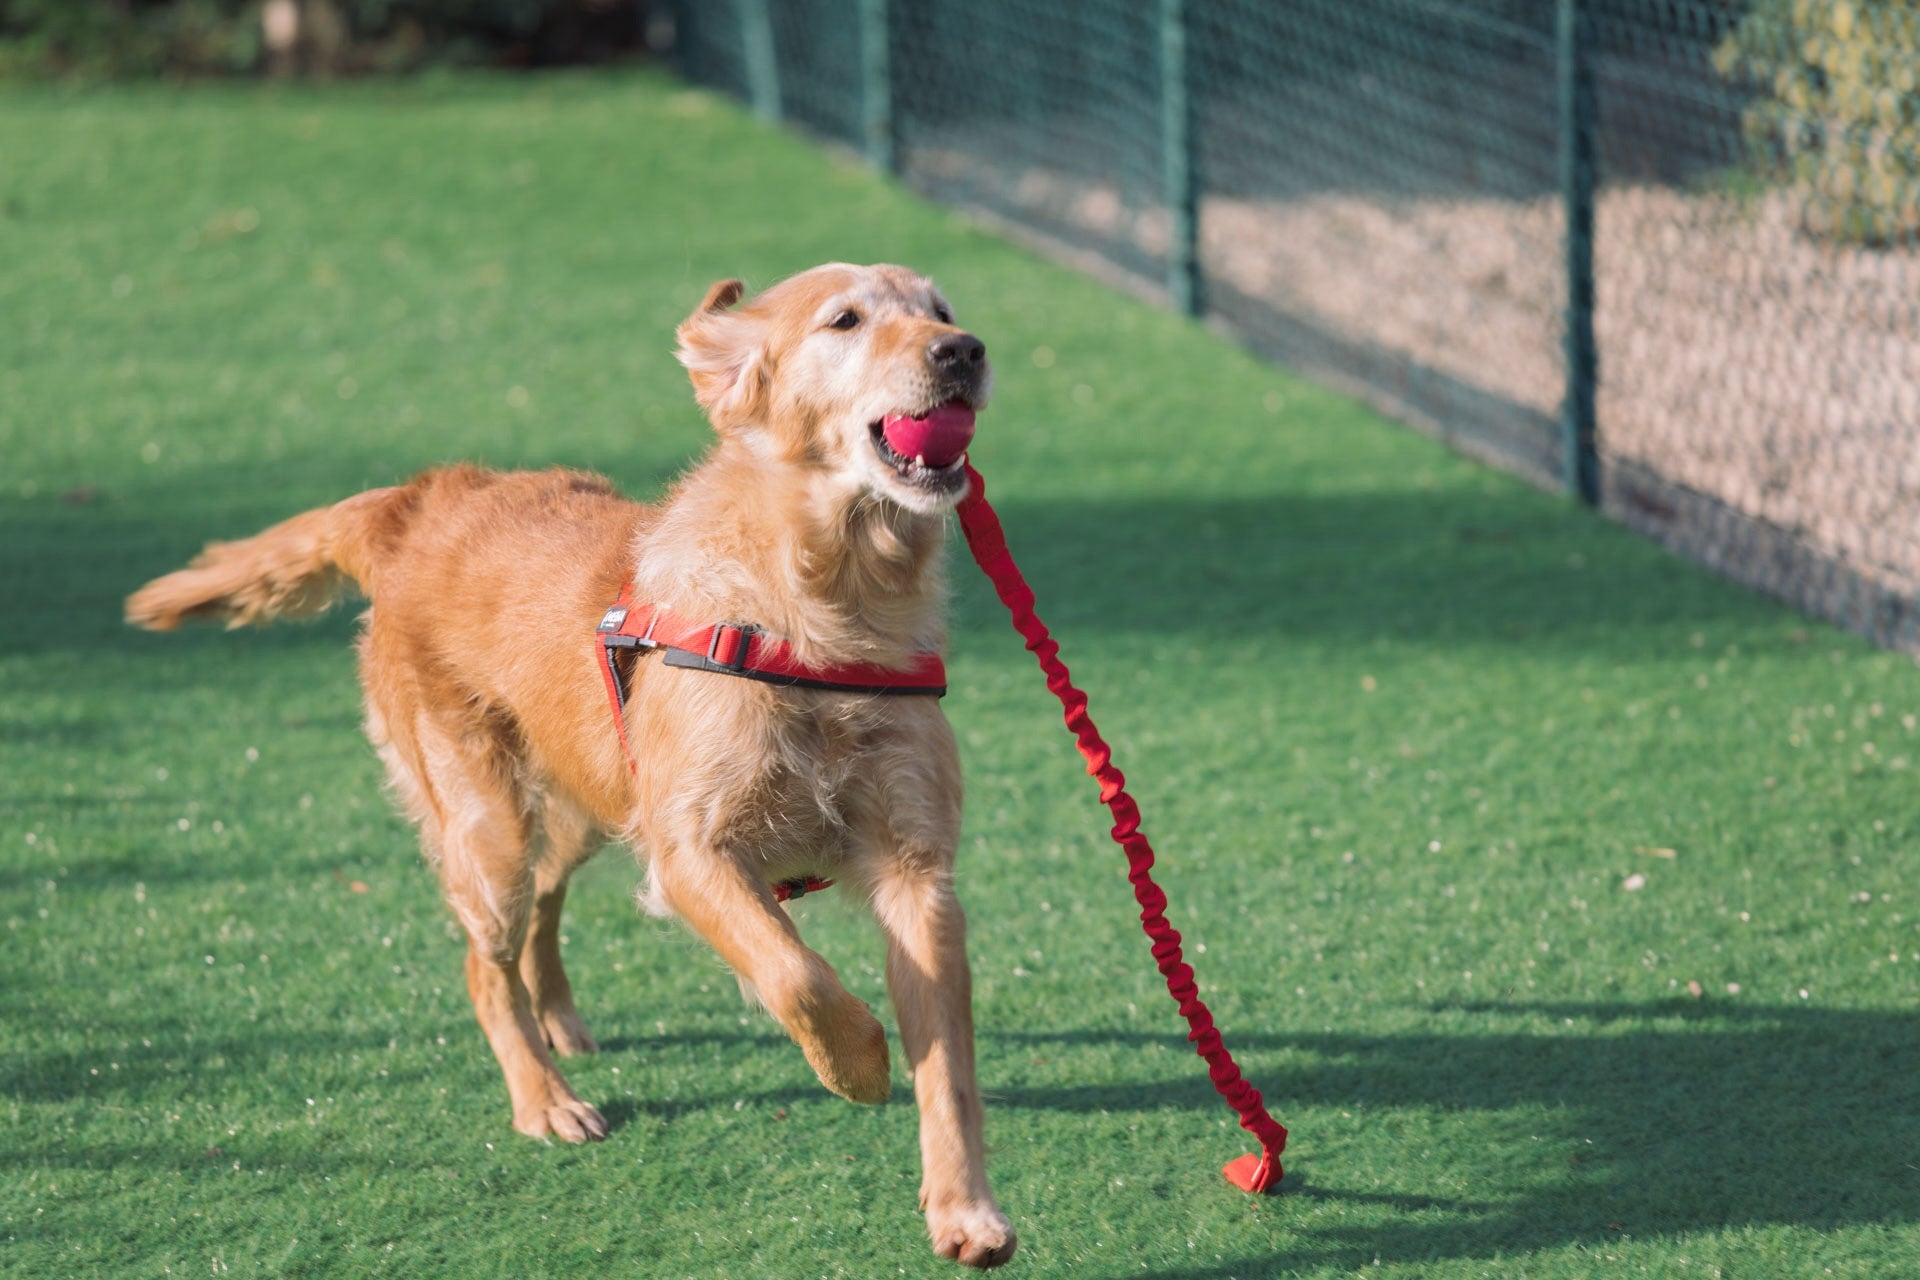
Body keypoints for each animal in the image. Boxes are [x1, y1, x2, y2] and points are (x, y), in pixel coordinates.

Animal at [123, 262, 1021, 1274]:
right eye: (846, 320)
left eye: (941, 312)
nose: (963, 352)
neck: (824, 613)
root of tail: (421, 500)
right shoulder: (690, 852)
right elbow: (795, 973)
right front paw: (859, 1063)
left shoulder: (918, 871)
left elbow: (948, 1069)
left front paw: (965, 1210)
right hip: (490, 828)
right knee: (484, 965)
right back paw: (542, 1098)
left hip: (583, 800)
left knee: (544, 905)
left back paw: (555, 1019)